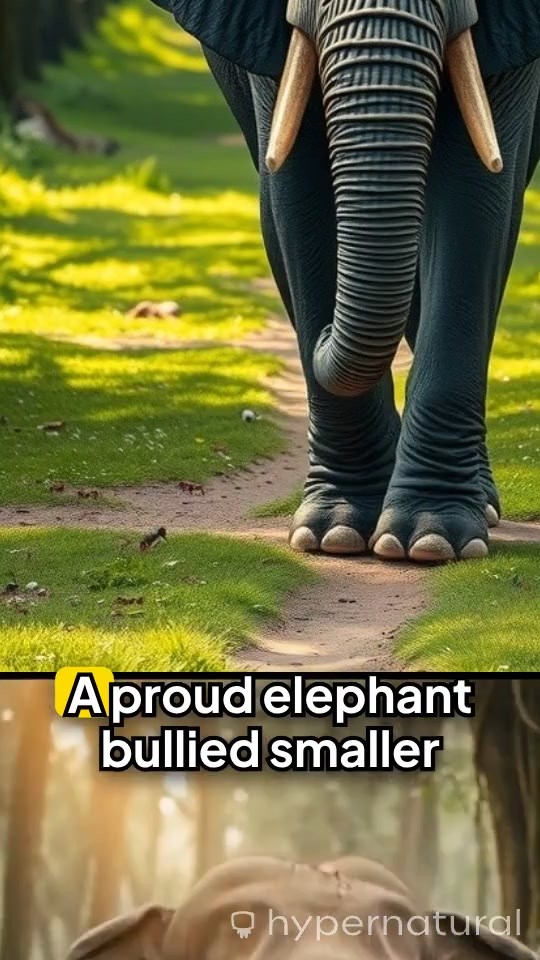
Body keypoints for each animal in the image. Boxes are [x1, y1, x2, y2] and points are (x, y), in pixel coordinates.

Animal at [150, 0, 540, 563]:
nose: (321, 336)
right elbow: (296, 198)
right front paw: (335, 532)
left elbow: (475, 199)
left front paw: (431, 538)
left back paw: (477, 505)